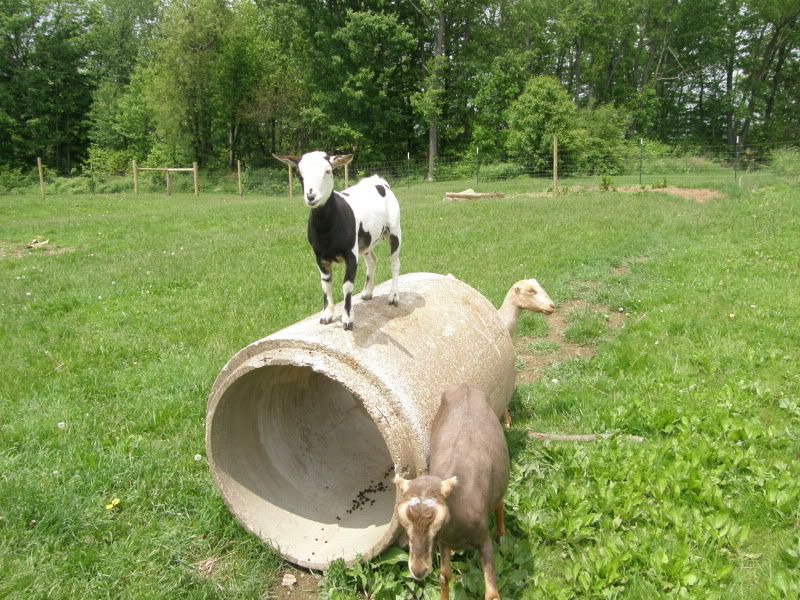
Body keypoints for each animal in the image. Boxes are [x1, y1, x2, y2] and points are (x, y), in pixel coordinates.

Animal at [273, 152, 401, 330]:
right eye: (299, 174)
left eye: (328, 171)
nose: (311, 196)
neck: (328, 231)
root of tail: (380, 182)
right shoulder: (320, 257)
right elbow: (325, 283)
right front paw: (326, 315)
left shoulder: (351, 255)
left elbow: (347, 285)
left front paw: (347, 319)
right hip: (365, 242)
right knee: (372, 261)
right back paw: (367, 293)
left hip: (395, 229)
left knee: (395, 263)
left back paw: (393, 296)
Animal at [394, 384, 509, 600]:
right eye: (405, 521)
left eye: (436, 521)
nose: (418, 570)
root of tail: (465, 387)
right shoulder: (444, 542)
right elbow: (444, 576)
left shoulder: (483, 539)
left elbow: (491, 593)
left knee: (499, 503)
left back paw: (502, 535)